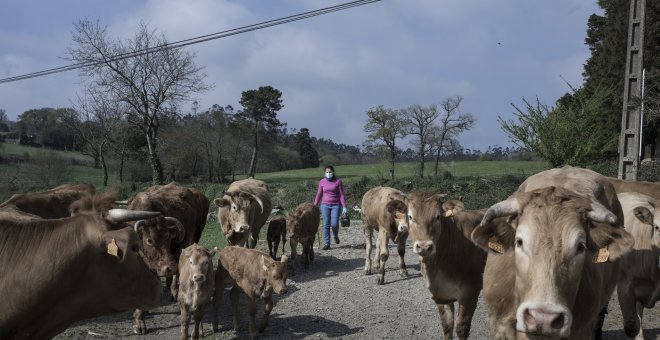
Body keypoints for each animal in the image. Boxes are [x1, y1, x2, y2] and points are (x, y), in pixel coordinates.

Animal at [127, 183, 210, 334]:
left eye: (169, 238)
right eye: (149, 240)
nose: (170, 267)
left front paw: (139, 319)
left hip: (196, 235)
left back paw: (174, 291)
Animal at [408, 194, 490, 340]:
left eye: (437, 217)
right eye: (410, 217)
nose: (424, 247)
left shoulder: (470, 292)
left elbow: (461, 327)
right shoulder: (440, 294)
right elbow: (447, 325)